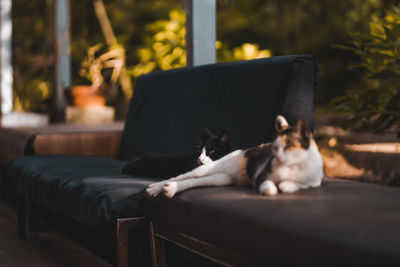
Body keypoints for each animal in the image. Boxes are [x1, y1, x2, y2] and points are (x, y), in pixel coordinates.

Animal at [145, 115, 324, 199]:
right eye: (273, 147)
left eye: (212, 151)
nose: (200, 159)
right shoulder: (261, 176)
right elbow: (268, 186)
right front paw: (272, 188)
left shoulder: (313, 181)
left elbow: (297, 184)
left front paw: (286, 185)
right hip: (205, 171)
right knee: (179, 177)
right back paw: (155, 188)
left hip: (219, 178)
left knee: (192, 182)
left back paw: (170, 189)